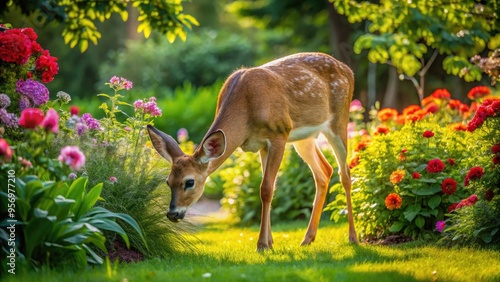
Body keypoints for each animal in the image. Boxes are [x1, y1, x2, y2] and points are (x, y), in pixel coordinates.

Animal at [146, 51, 358, 250]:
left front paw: (262, 244)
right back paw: (307, 239)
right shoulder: (262, 145)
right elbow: (269, 188)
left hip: (339, 120)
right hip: (304, 137)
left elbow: (266, 189)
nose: (172, 213)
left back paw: (353, 237)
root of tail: (348, 69)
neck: (246, 111)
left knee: (345, 174)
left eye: (189, 182)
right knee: (324, 172)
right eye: (168, 181)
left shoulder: (279, 134)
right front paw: (270, 242)